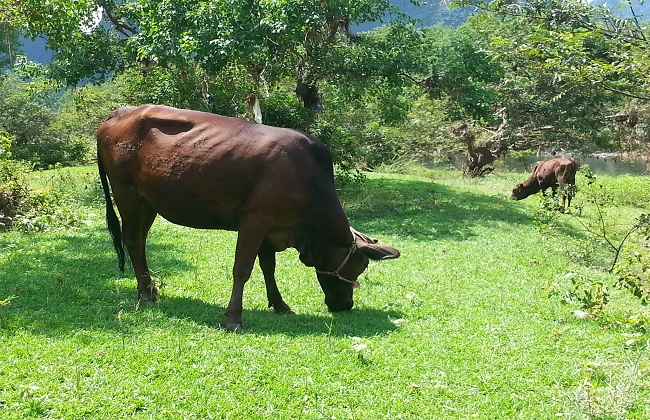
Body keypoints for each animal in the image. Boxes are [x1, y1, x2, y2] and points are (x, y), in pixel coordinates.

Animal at [96, 105, 400, 332]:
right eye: (358, 269)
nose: (345, 306)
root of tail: (117, 114)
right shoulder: (255, 220)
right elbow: (242, 269)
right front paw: (233, 318)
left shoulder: (271, 228)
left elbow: (268, 268)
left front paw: (280, 305)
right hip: (127, 193)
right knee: (133, 241)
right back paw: (146, 295)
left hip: (149, 202)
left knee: (139, 242)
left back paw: (149, 289)